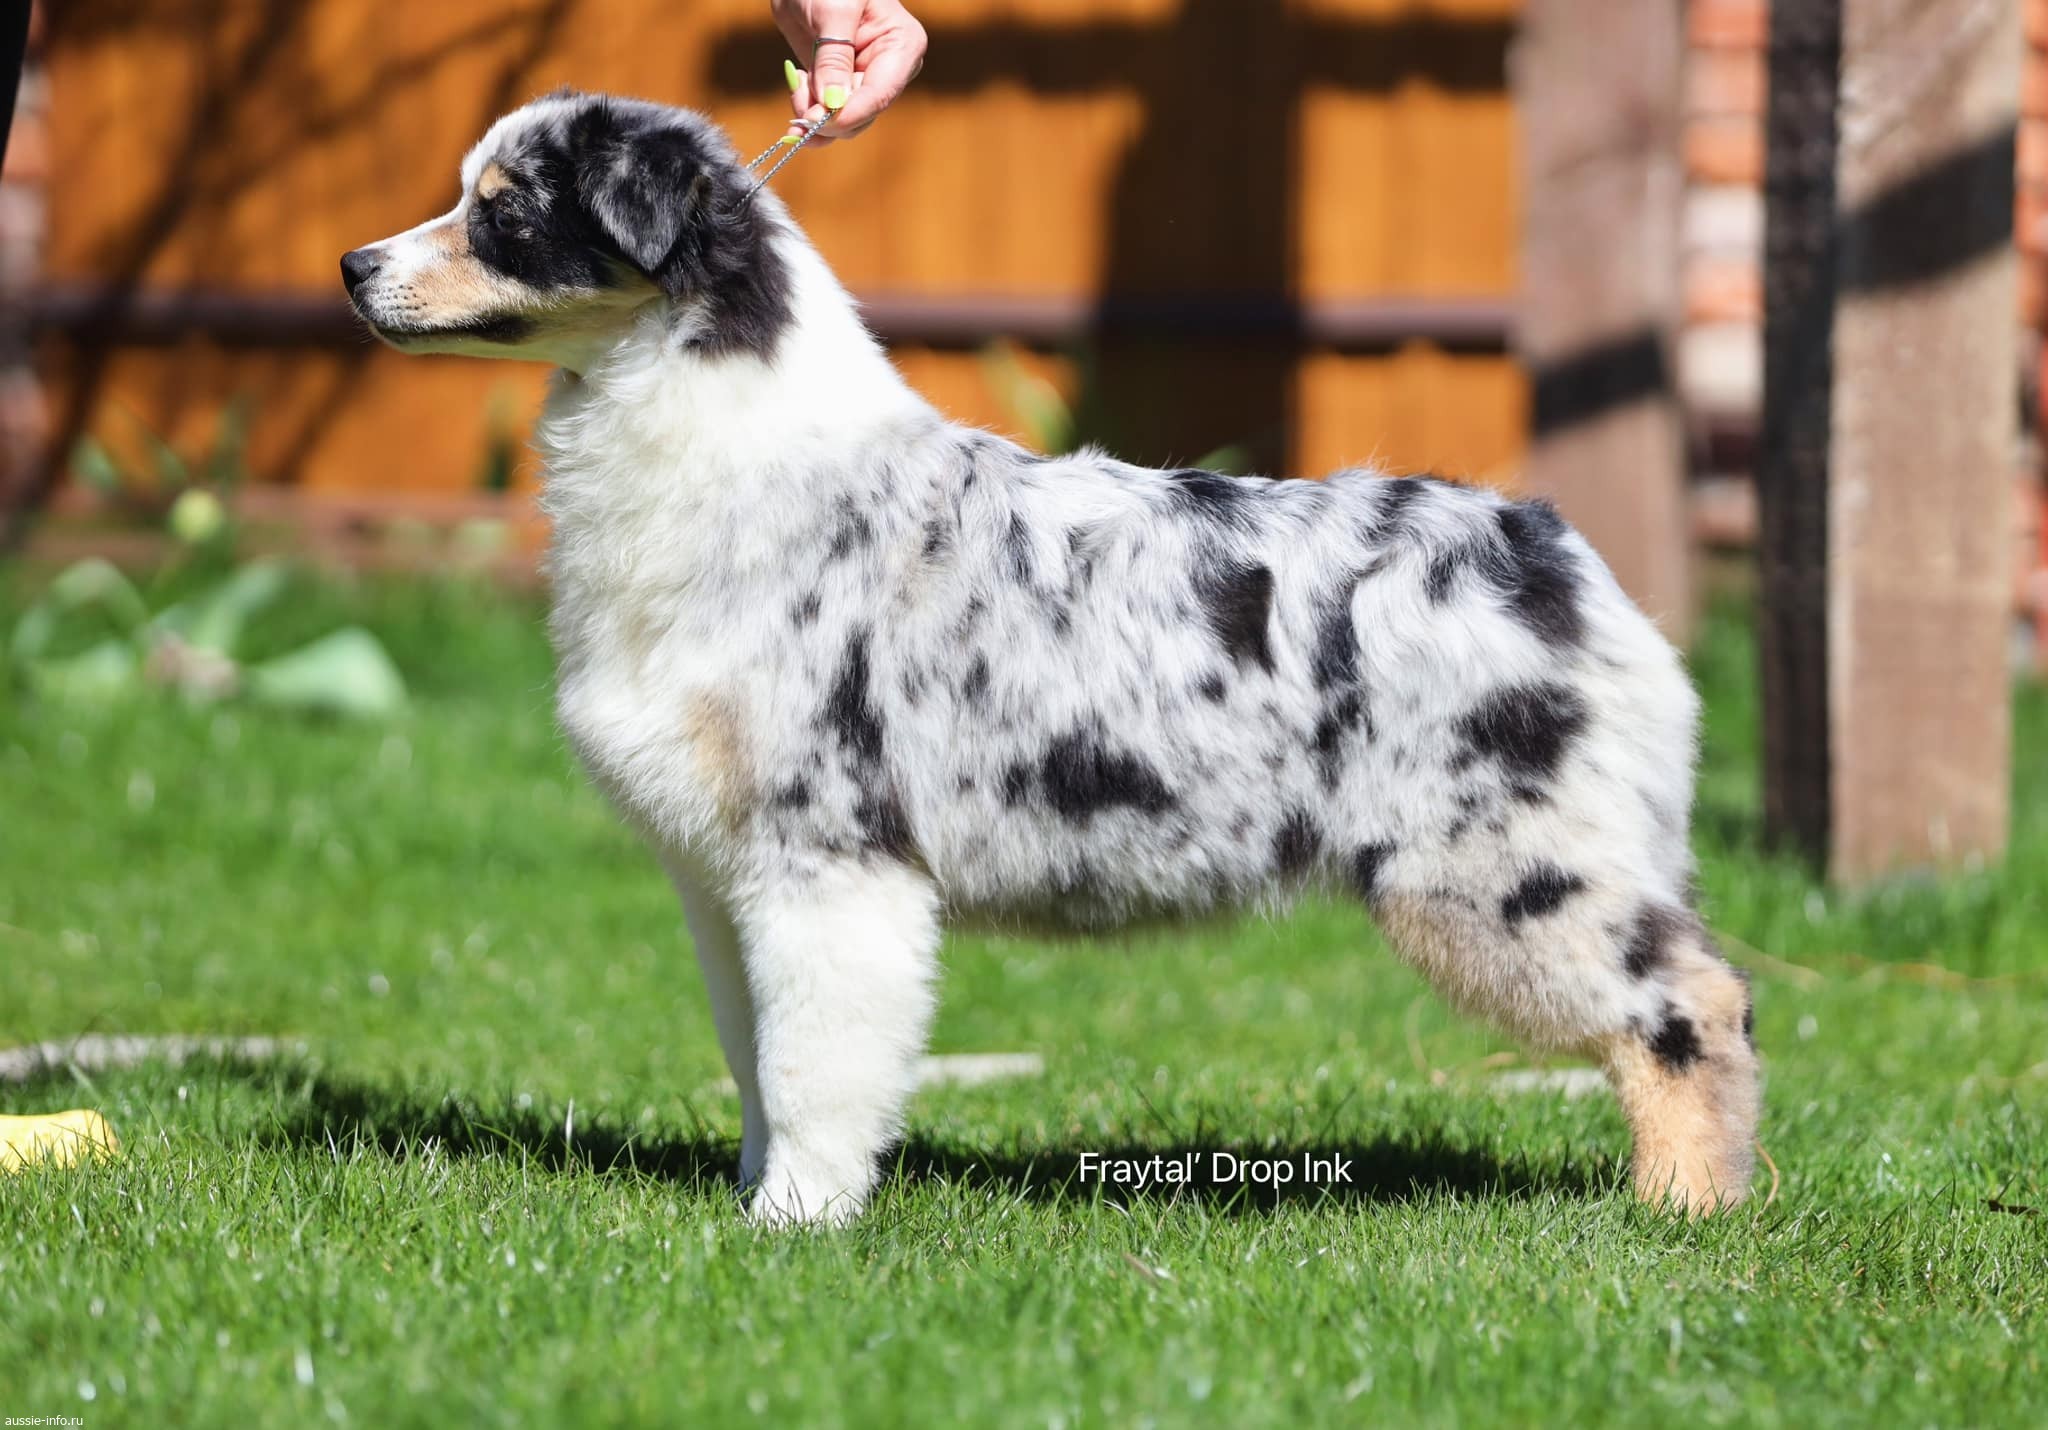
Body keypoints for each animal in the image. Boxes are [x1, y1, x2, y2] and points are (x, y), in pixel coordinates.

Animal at [342, 91, 1759, 1225]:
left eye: (504, 208)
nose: (353, 264)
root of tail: (1553, 553)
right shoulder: (724, 876)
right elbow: (755, 1055)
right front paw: (757, 1193)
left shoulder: (830, 858)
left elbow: (814, 1062)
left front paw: (795, 1221)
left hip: (1506, 866)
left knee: (1693, 1002)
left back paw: (1683, 1209)